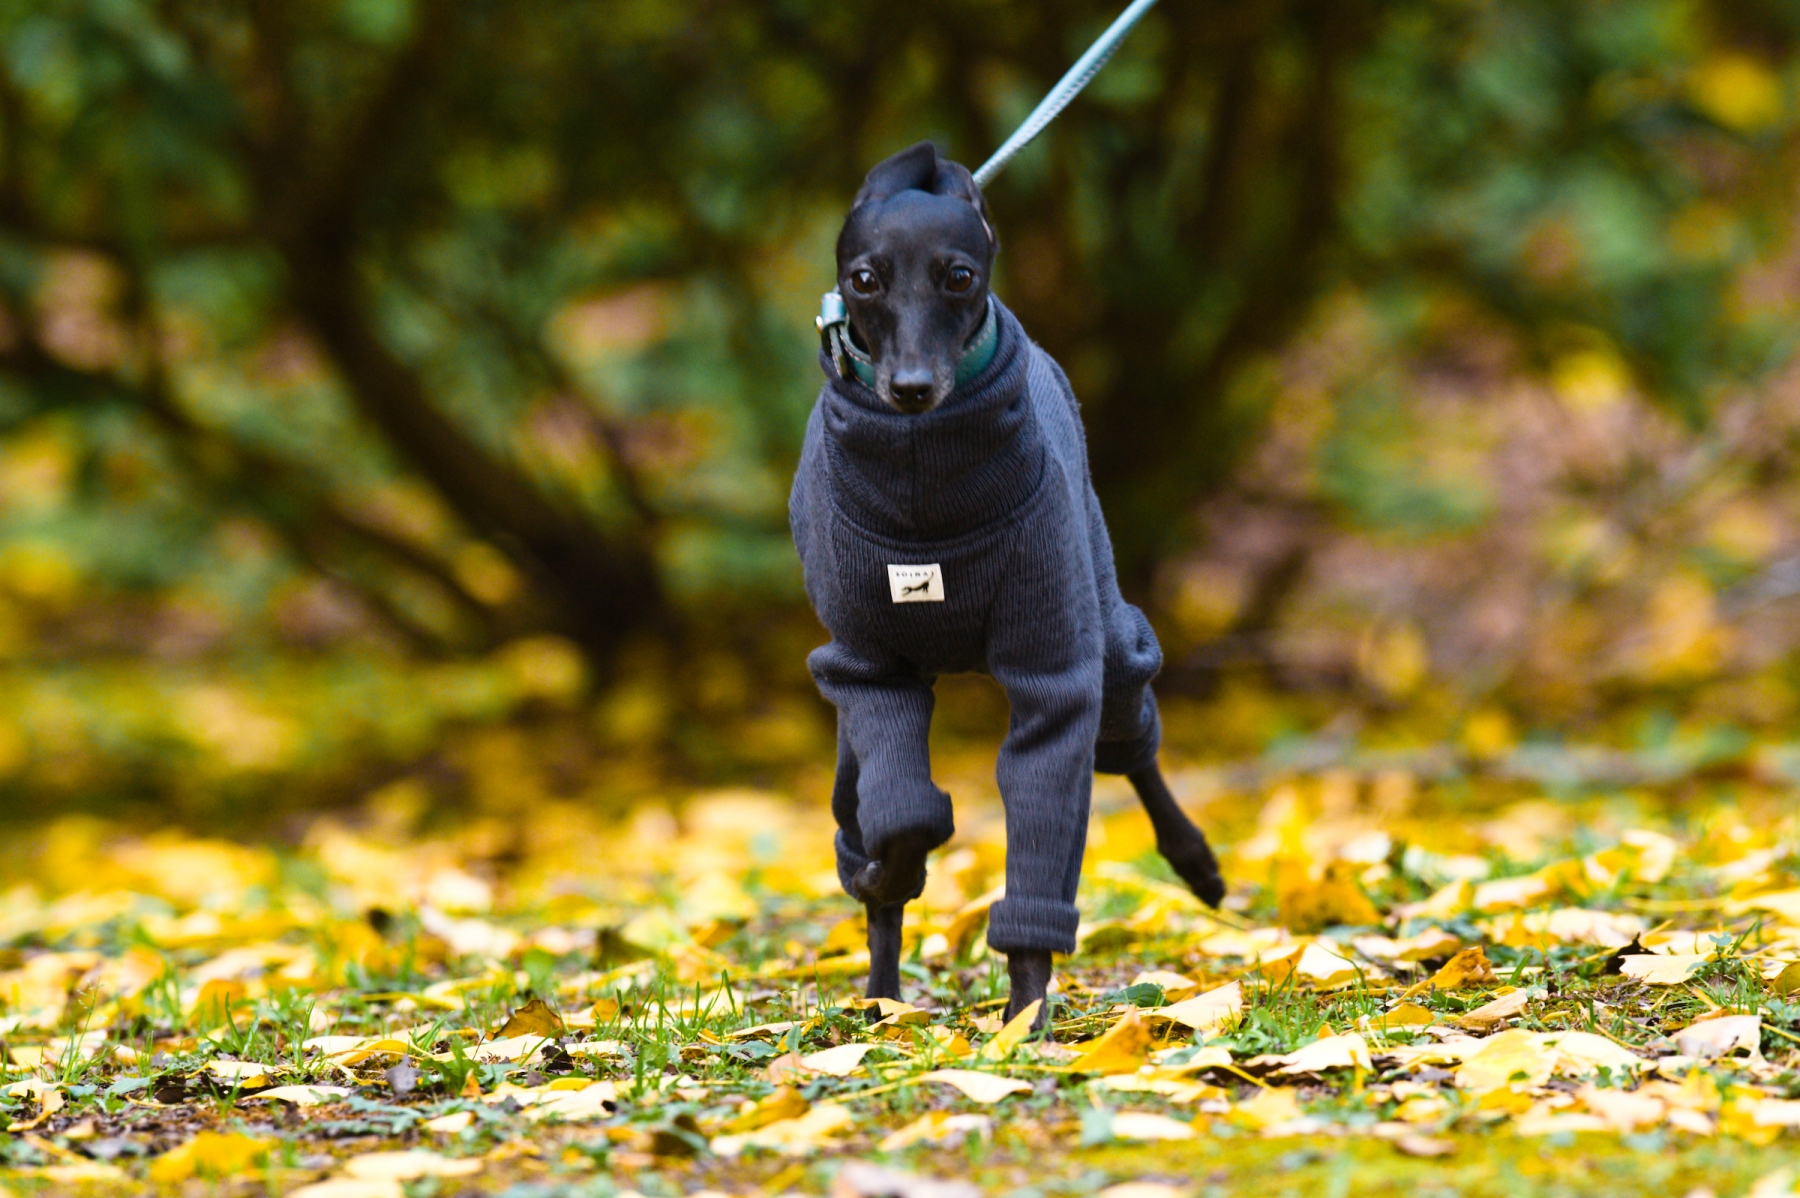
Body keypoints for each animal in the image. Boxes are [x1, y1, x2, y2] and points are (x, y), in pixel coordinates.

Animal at [789, 141, 1225, 1031]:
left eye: (959, 276)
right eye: (863, 279)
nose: (910, 389)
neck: (923, 480)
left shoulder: (1053, 670)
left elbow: (1046, 797)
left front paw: (1024, 1018)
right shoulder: (867, 670)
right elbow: (906, 815)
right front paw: (889, 877)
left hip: (1107, 629)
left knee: (1131, 737)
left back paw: (1195, 861)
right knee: (864, 818)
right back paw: (881, 994)